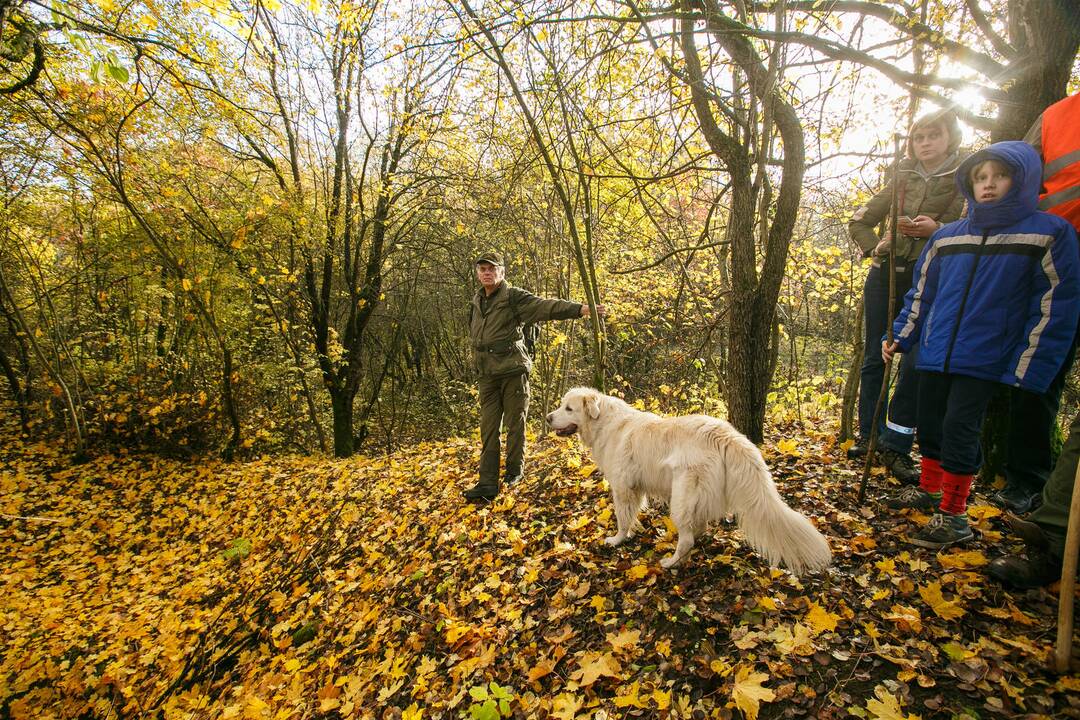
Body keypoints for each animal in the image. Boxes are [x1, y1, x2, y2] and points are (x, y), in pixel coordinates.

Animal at [548, 388, 833, 574]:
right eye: (562, 405)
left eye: (569, 408)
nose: (549, 418)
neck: (605, 423)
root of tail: (726, 435)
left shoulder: (622, 488)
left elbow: (622, 517)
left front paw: (618, 539)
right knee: (700, 528)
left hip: (682, 496)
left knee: (687, 539)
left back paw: (671, 562)